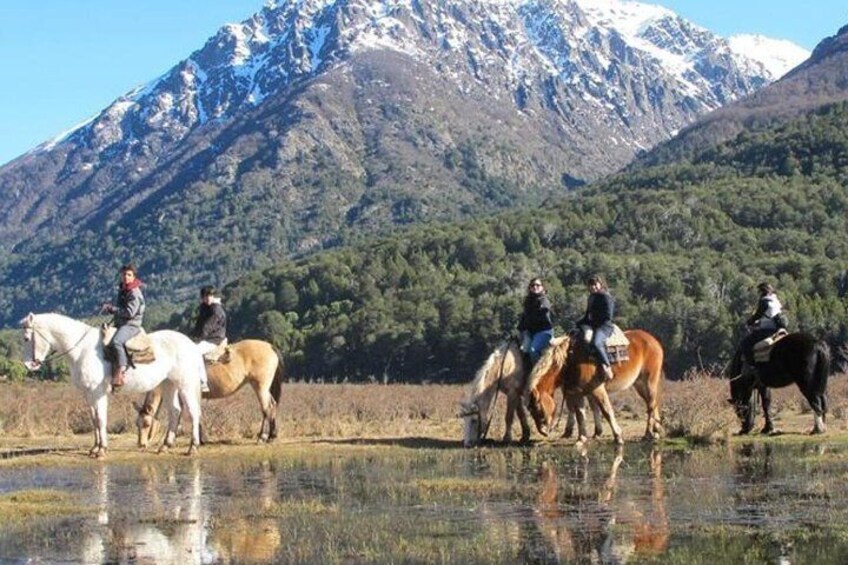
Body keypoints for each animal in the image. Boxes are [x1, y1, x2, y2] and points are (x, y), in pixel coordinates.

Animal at [20, 310, 206, 456]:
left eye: (27, 338)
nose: (28, 365)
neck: (82, 350)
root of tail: (192, 345)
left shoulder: (98, 392)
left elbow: (101, 419)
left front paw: (102, 449)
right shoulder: (88, 394)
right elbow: (94, 419)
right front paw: (94, 448)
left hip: (186, 384)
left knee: (193, 412)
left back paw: (193, 447)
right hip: (168, 385)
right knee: (175, 411)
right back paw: (165, 446)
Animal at [136, 338, 284, 448]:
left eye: (147, 424)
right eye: (137, 424)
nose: (141, 444)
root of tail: (269, 346)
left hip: (260, 387)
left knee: (266, 408)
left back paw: (262, 437)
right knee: (272, 405)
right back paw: (272, 436)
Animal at [528, 330, 664, 446]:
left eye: (538, 408)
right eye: (530, 410)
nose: (543, 431)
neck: (570, 360)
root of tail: (654, 341)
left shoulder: (597, 389)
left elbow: (606, 411)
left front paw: (618, 436)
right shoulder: (577, 393)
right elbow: (580, 414)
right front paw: (581, 439)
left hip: (649, 381)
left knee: (651, 405)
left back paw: (648, 434)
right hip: (639, 384)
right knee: (652, 403)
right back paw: (656, 431)